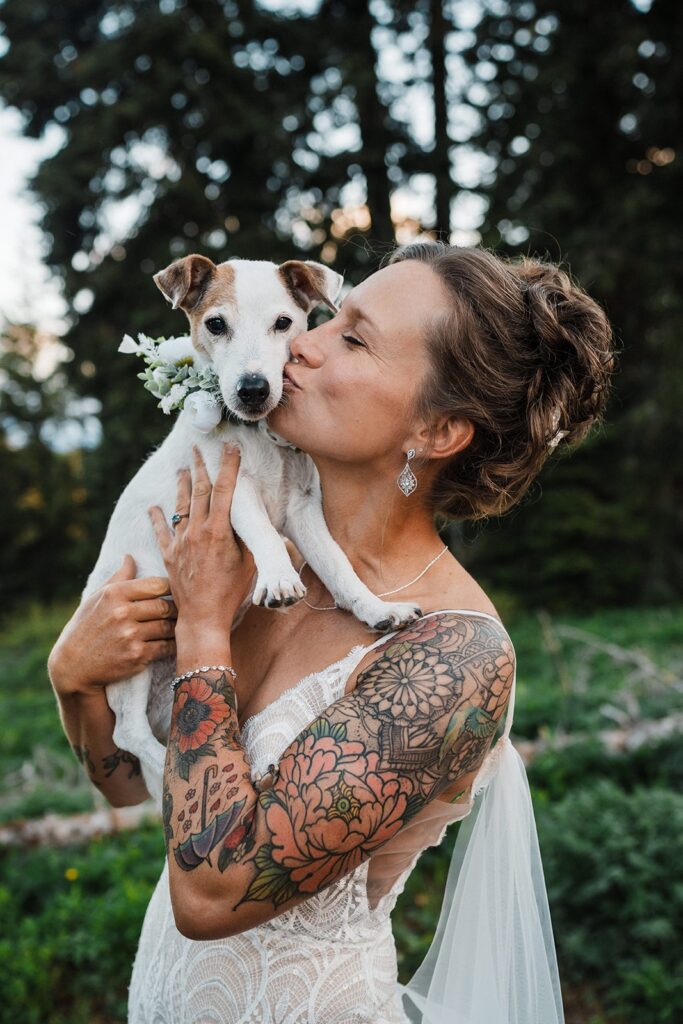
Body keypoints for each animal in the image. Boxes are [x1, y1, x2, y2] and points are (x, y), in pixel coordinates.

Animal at [80, 256, 421, 806]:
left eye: (284, 323)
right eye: (216, 324)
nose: (253, 389)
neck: (259, 438)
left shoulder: (303, 509)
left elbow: (339, 566)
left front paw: (375, 607)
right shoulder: (229, 487)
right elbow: (261, 530)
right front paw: (279, 578)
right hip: (130, 655)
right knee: (126, 732)